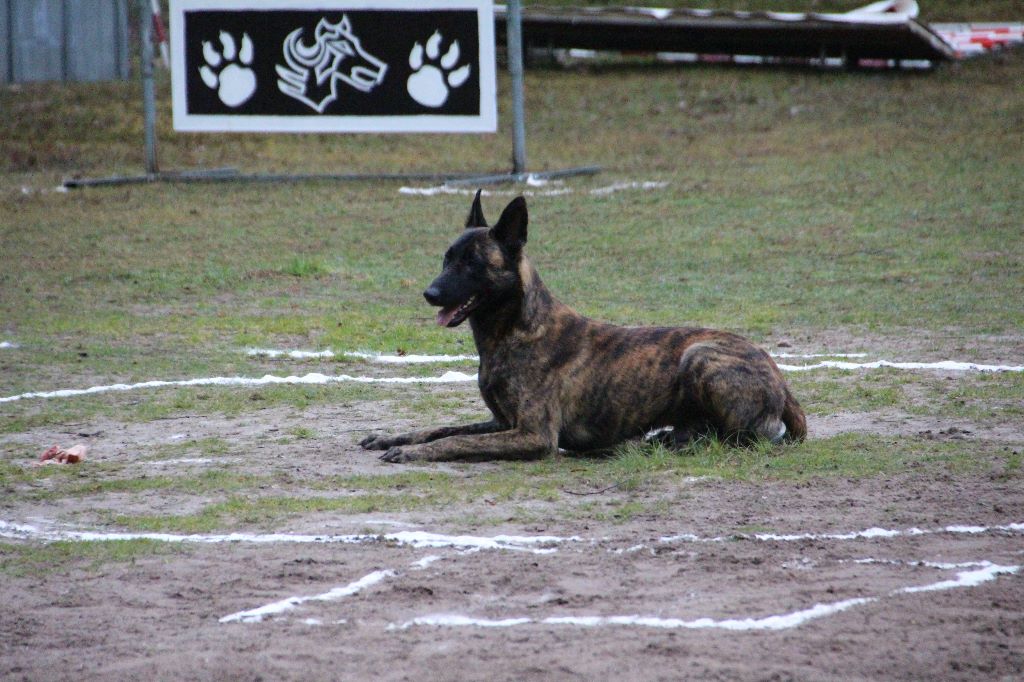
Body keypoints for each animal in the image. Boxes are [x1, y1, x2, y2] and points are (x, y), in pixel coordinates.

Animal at [362, 189, 806, 462]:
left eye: (472, 263)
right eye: (447, 257)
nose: (430, 293)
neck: (516, 329)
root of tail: (780, 379)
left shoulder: (533, 435)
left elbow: (457, 441)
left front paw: (413, 452)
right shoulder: (502, 423)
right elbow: (440, 428)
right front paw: (395, 437)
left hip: (699, 356)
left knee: (739, 439)